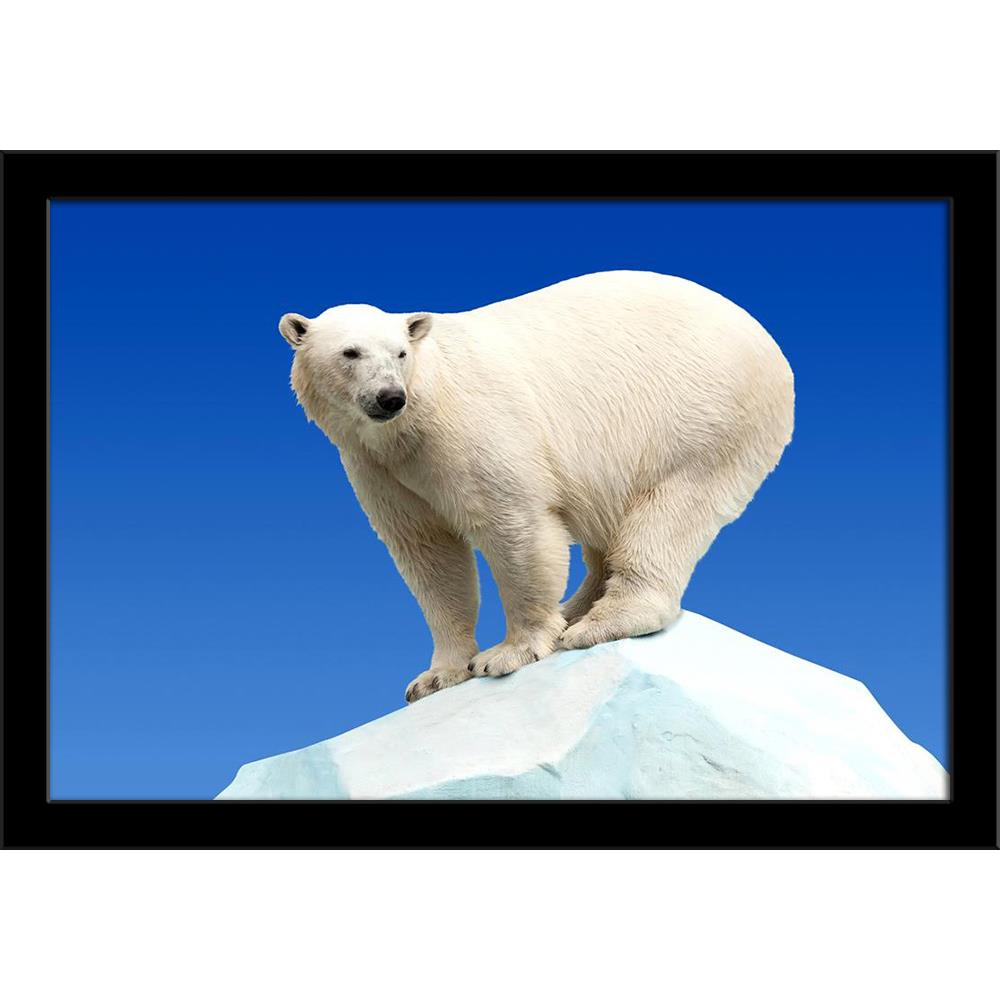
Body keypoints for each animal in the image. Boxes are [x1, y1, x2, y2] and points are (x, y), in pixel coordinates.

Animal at [278, 270, 794, 703]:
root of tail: (767, 341)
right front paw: (436, 676)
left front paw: (509, 652)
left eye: (400, 353)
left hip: (701, 416)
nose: (390, 397)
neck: (412, 423)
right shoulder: (378, 468)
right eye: (350, 352)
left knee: (671, 510)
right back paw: (577, 608)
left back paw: (599, 623)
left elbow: (514, 524)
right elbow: (429, 553)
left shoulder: (470, 430)